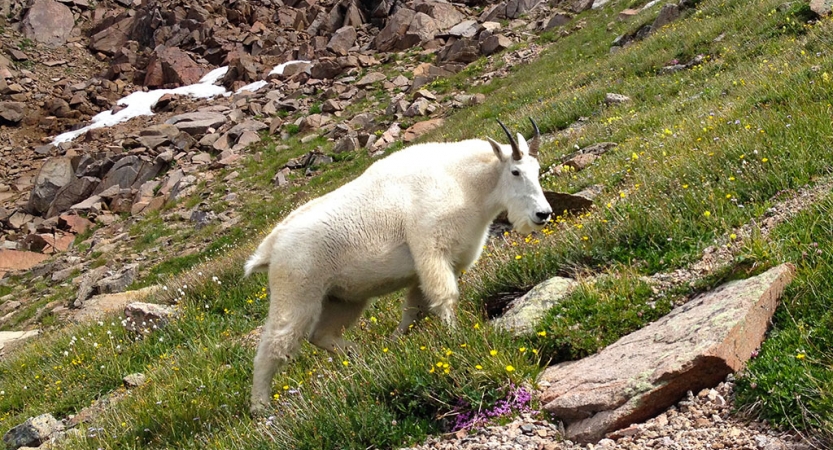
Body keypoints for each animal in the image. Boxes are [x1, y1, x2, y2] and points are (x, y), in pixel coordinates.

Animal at [242, 118, 552, 414]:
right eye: (516, 172)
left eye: (537, 170)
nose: (543, 214)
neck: (466, 183)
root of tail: (272, 246)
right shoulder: (431, 251)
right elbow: (445, 298)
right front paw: (457, 337)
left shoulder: (425, 271)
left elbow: (413, 313)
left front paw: (395, 343)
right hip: (297, 292)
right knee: (273, 345)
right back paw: (260, 407)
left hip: (342, 298)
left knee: (321, 334)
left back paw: (359, 355)